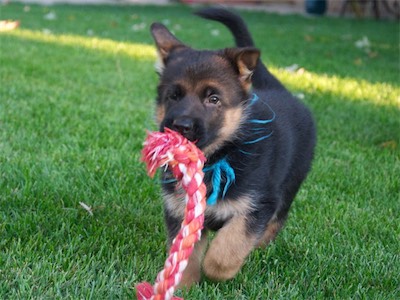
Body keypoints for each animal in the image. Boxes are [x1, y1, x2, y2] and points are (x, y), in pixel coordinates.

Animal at [149, 7, 316, 288]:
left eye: (213, 99)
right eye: (173, 96)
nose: (181, 125)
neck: (217, 158)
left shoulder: (258, 204)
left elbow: (227, 249)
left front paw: (217, 271)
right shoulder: (181, 210)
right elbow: (184, 253)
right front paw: (183, 284)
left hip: (290, 183)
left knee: (277, 221)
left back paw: (260, 249)